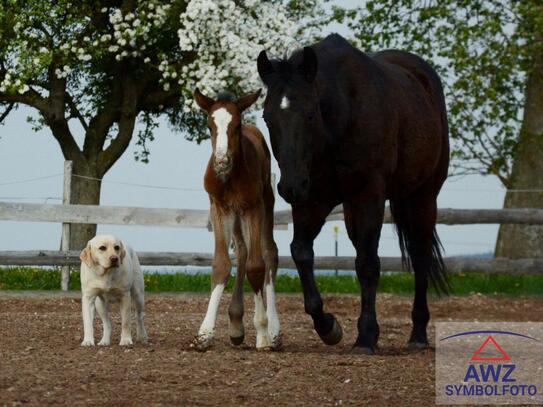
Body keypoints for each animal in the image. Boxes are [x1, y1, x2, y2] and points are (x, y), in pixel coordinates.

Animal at [193, 88, 280, 350]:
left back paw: (272, 330)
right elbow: (222, 264)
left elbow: (257, 266)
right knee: (242, 251)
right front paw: (204, 334)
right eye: (209, 125)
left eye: (237, 125)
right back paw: (236, 325)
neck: (229, 178)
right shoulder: (220, 209)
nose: (221, 162)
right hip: (236, 215)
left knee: (268, 253)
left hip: (265, 202)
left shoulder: (253, 207)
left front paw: (263, 330)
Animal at [260, 34, 450, 354]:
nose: (289, 186)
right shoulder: (313, 200)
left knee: (420, 256)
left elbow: (367, 264)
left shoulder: (369, 196)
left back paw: (418, 333)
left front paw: (366, 336)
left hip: (423, 196)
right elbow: (301, 252)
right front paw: (328, 326)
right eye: (267, 117)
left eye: (310, 114)